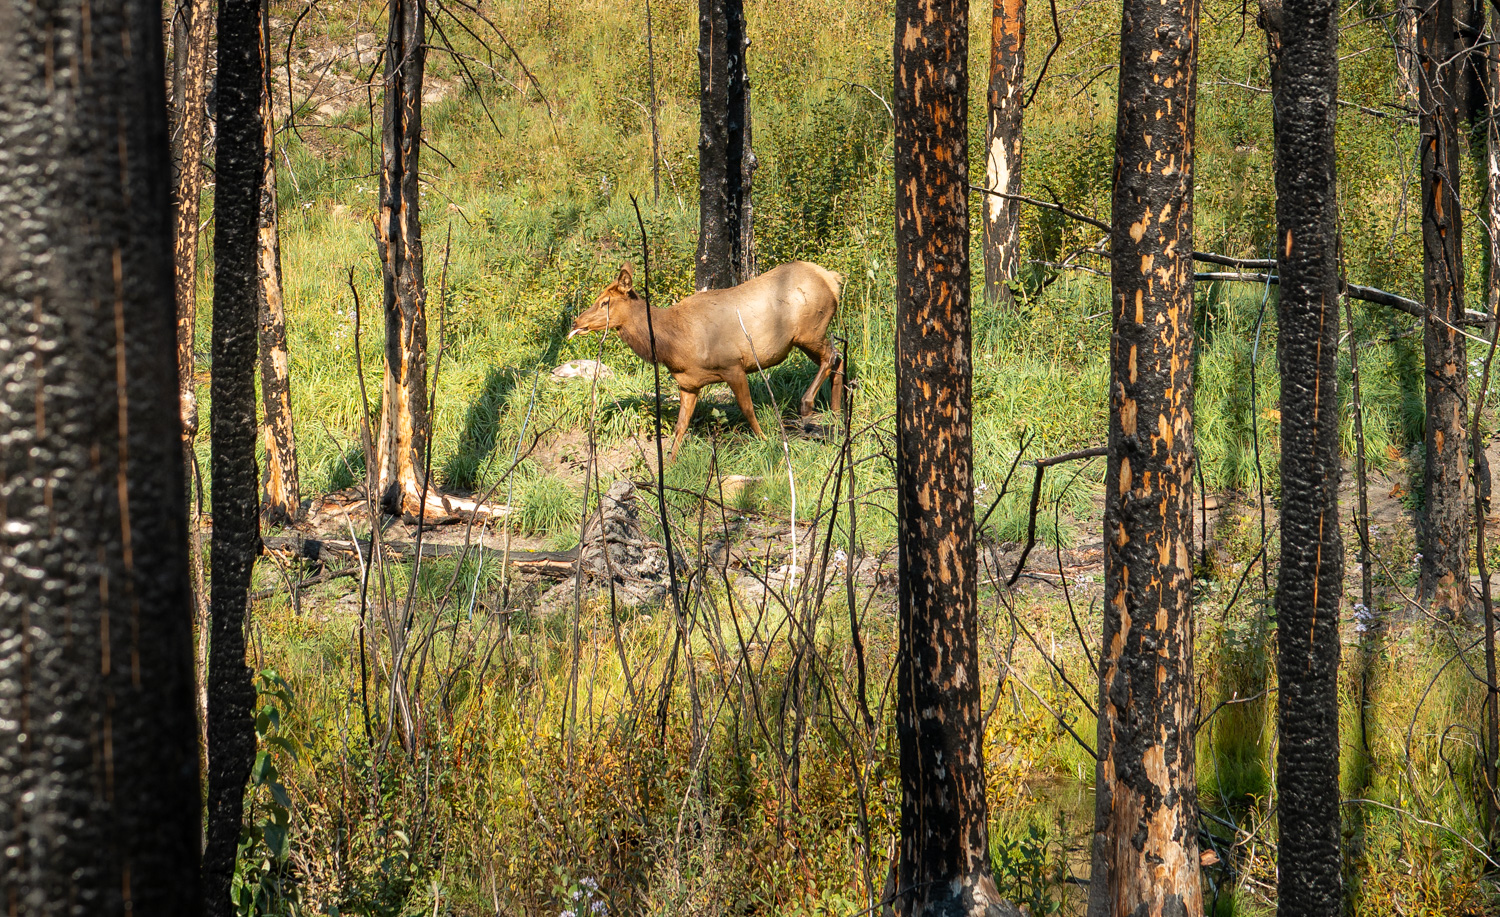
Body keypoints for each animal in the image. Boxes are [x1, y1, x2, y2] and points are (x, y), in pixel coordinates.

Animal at [568, 260, 845, 459]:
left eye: (605, 302)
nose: (576, 321)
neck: (675, 345)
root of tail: (832, 279)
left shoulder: (733, 365)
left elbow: (747, 408)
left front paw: (767, 440)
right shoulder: (688, 384)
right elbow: (680, 425)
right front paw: (670, 463)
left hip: (811, 329)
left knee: (832, 355)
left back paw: (808, 406)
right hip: (806, 338)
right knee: (838, 360)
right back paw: (836, 414)